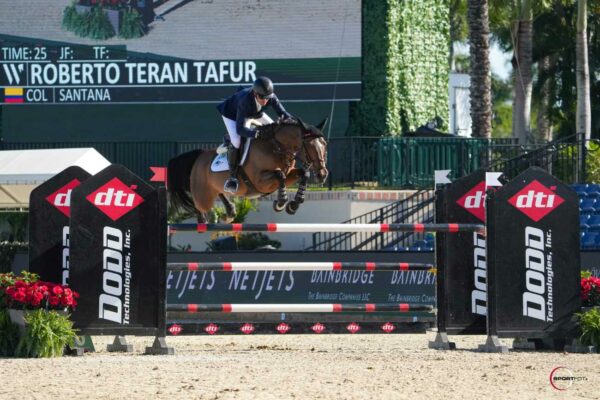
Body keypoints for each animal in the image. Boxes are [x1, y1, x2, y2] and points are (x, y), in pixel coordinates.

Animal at [166, 116, 330, 222]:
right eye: (310, 146)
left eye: (324, 144)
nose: (322, 175)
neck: (276, 147)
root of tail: (199, 157)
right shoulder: (260, 181)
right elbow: (279, 175)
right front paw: (281, 203)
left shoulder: (289, 175)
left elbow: (303, 174)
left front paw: (294, 204)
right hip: (202, 196)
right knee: (199, 206)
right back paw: (205, 219)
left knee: (219, 193)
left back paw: (229, 211)